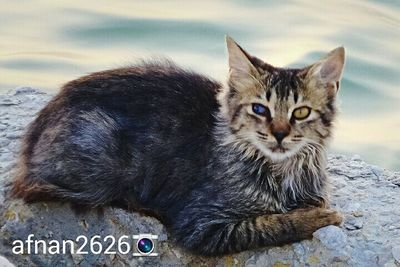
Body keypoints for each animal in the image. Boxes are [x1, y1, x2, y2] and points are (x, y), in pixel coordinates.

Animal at [10, 36, 346, 256]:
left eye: (300, 113)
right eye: (259, 109)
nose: (278, 134)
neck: (283, 171)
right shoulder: (202, 224)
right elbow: (271, 223)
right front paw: (319, 217)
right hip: (102, 161)